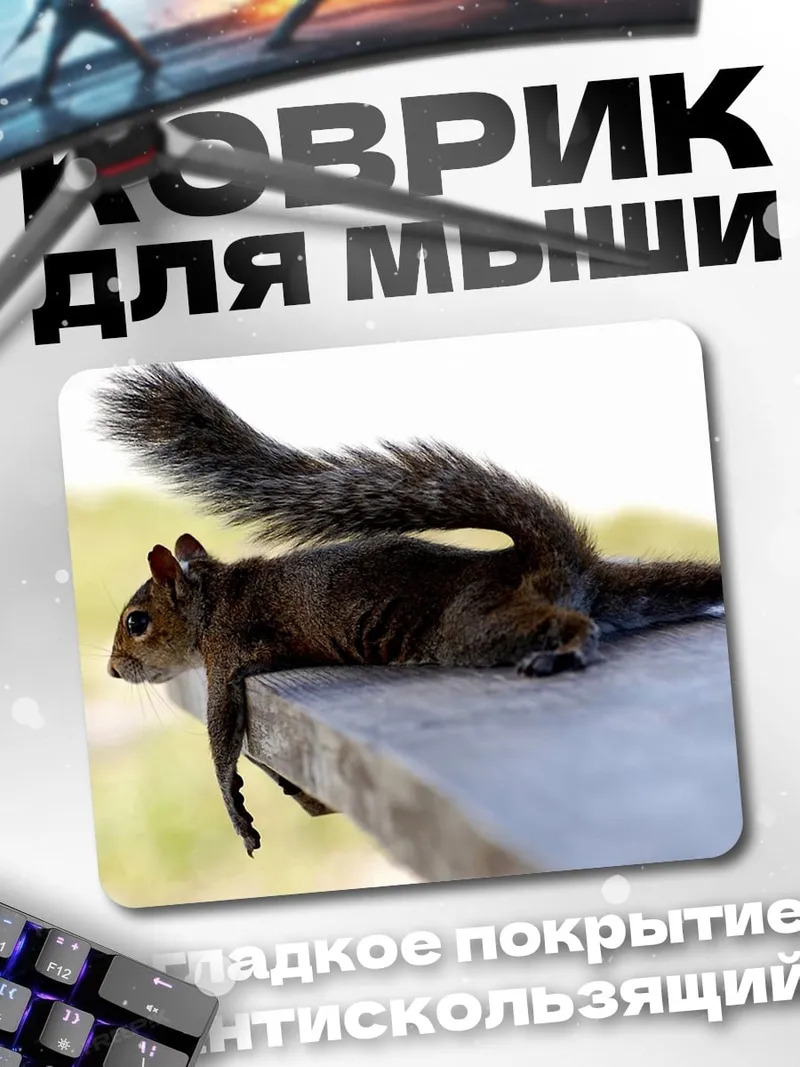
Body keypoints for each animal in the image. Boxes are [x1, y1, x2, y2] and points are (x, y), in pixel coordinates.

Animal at [97, 363, 724, 856]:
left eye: (136, 622)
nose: (111, 670)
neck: (212, 599)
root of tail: (552, 561)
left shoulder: (229, 652)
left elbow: (222, 735)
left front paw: (235, 807)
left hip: (472, 625)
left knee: (570, 622)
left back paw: (565, 648)